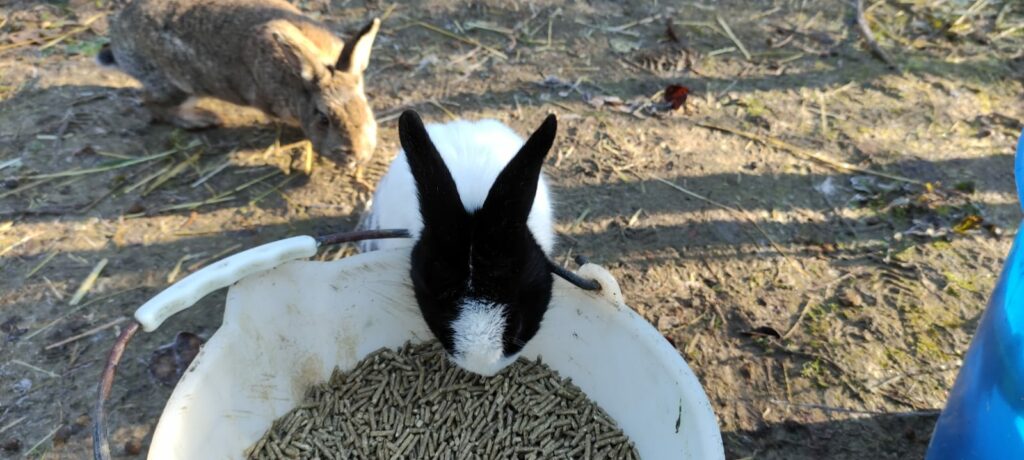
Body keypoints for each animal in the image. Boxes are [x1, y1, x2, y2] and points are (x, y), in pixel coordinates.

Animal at [100, 0, 380, 164]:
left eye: (364, 106)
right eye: (323, 119)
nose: (358, 155)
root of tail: (117, 37)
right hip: (176, 86)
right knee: (152, 103)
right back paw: (201, 119)